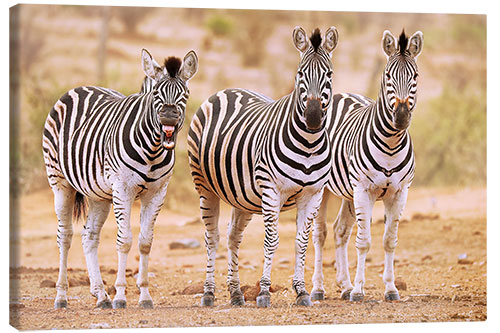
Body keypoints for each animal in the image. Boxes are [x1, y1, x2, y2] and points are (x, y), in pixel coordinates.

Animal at [41, 48, 197, 308]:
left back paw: (101, 295)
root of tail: (80, 87)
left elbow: (145, 242)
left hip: (99, 195)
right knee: (65, 236)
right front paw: (122, 296)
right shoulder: (123, 189)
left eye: (184, 94)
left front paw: (144, 296)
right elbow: (124, 241)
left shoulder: (157, 193)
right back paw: (62, 296)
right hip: (60, 183)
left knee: (89, 237)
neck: (153, 149)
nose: (168, 117)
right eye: (156, 93)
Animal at [188, 26, 340, 306]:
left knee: (233, 237)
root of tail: (226, 90)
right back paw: (208, 293)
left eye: (329, 74)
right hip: (205, 186)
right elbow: (272, 241)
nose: (313, 117)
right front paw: (264, 292)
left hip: (243, 197)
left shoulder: (313, 194)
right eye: (299, 73)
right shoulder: (271, 190)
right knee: (212, 238)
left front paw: (301, 291)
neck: (309, 143)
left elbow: (301, 242)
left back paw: (236, 293)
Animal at [310, 29, 424, 302]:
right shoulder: (364, 190)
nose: (401, 117)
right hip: (325, 189)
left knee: (340, 230)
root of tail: (340, 94)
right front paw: (360, 290)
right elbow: (363, 242)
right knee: (320, 234)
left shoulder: (400, 192)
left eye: (415, 76)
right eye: (388, 75)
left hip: (348, 192)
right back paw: (319, 289)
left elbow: (389, 240)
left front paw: (391, 289)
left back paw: (344, 285)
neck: (391, 143)